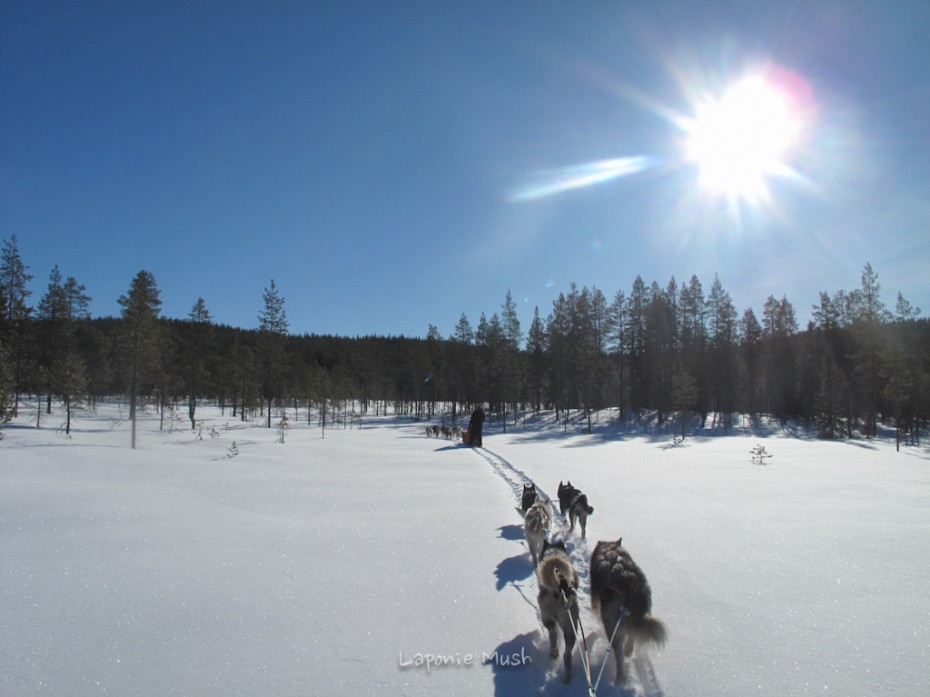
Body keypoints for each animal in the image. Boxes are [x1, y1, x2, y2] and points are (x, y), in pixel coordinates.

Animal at [532, 540, 576, 680]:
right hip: (571, 627)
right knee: (566, 653)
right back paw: (567, 675)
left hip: (547, 617)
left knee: (553, 634)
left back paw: (554, 652)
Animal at [592, 540, 664, 680]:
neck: (611, 549)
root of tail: (630, 588)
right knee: (632, 634)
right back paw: (628, 650)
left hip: (611, 625)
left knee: (619, 653)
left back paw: (619, 678)